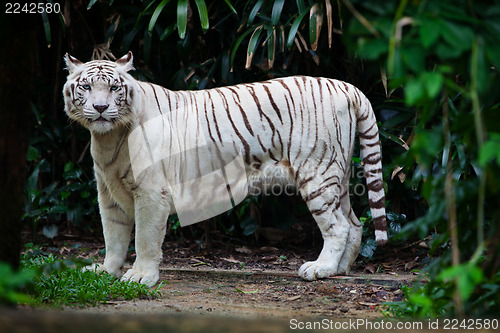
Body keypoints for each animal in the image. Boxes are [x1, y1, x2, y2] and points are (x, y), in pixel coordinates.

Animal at [63, 51, 386, 286]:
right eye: (87, 86)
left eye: (114, 88)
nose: (101, 108)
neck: (108, 137)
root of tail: (345, 86)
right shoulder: (108, 192)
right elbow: (113, 236)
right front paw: (106, 270)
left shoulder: (152, 192)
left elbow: (144, 237)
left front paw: (141, 276)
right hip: (336, 175)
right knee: (354, 224)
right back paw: (340, 269)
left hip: (317, 173)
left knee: (338, 226)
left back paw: (320, 268)